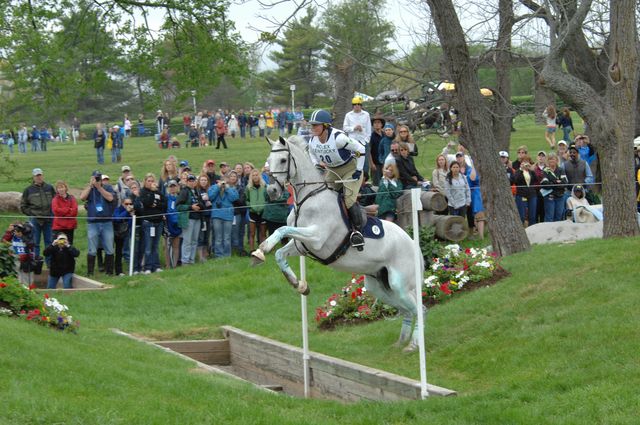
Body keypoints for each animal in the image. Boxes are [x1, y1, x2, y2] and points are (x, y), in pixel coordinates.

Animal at [252, 137, 428, 352]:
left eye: (283, 160)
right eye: (269, 160)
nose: (272, 191)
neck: (309, 197)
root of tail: (413, 244)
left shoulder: (317, 237)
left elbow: (281, 229)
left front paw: (262, 249)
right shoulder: (302, 245)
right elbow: (280, 253)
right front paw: (299, 285)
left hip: (400, 284)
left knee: (420, 309)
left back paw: (413, 345)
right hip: (379, 286)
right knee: (409, 310)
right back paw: (401, 342)